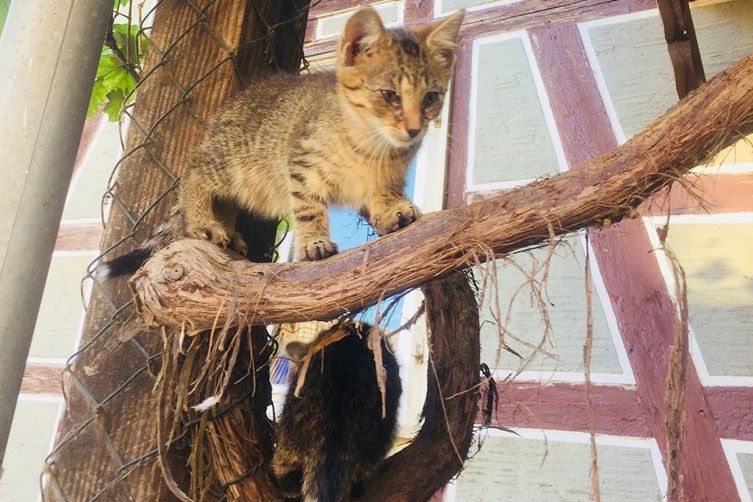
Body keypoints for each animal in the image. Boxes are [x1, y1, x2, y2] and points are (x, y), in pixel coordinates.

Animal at [100, 4, 464, 274]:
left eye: (431, 97)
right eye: (390, 95)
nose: (415, 129)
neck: (373, 146)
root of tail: (227, 108)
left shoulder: (390, 174)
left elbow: (383, 190)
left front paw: (392, 210)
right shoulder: (300, 166)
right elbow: (308, 208)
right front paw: (314, 243)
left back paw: (229, 232)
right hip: (229, 163)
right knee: (192, 173)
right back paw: (203, 221)